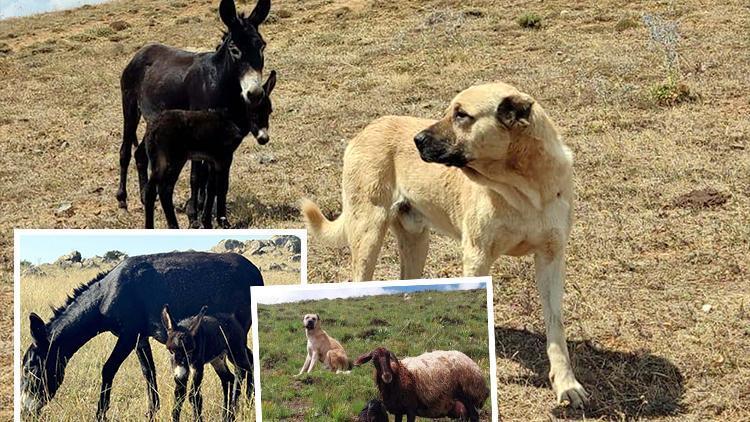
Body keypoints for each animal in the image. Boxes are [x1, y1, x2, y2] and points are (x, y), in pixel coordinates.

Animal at [140, 70, 276, 227]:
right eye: (253, 112)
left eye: (269, 111)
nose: (263, 139)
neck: (231, 119)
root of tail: (153, 128)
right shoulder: (225, 157)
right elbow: (222, 187)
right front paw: (224, 222)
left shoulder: (212, 160)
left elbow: (211, 188)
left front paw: (207, 222)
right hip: (173, 160)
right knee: (164, 189)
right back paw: (174, 226)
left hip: (159, 161)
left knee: (151, 190)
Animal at [302, 82, 592, 408]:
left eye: (461, 115)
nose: (416, 140)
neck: (523, 188)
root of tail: (364, 131)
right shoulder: (477, 256)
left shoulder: (551, 257)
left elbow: (556, 327)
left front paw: (567, 384)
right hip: (369, 233)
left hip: (416, 240)